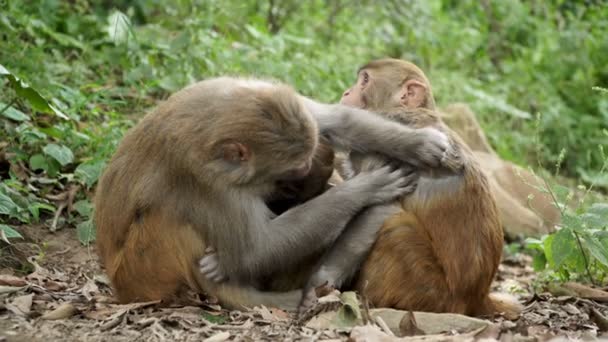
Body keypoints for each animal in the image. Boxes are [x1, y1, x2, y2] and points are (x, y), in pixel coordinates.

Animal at [94, 76, 446, 312]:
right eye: (294, 171)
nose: (310, 170)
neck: (212, 120)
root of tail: (120, 287)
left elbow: (338, 119)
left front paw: (418, 144)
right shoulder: (205, 180)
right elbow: (254, 251)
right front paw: (368, 188)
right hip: (147, 270)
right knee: (169, 218)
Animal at [296, 60, 524, 320]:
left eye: (365, 80)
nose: (346, 92)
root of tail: (476, 299)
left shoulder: (382, 154)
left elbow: (382, 209)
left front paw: (318, 284)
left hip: (432, 293)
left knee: (398, 228)